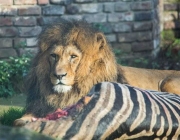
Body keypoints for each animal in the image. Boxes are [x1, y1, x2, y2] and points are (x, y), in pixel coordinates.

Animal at [14, 18, 180, 126]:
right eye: (54, 56)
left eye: (73, 57)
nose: (59, 75)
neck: (65, 95)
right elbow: (19, 120)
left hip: (167, 82)